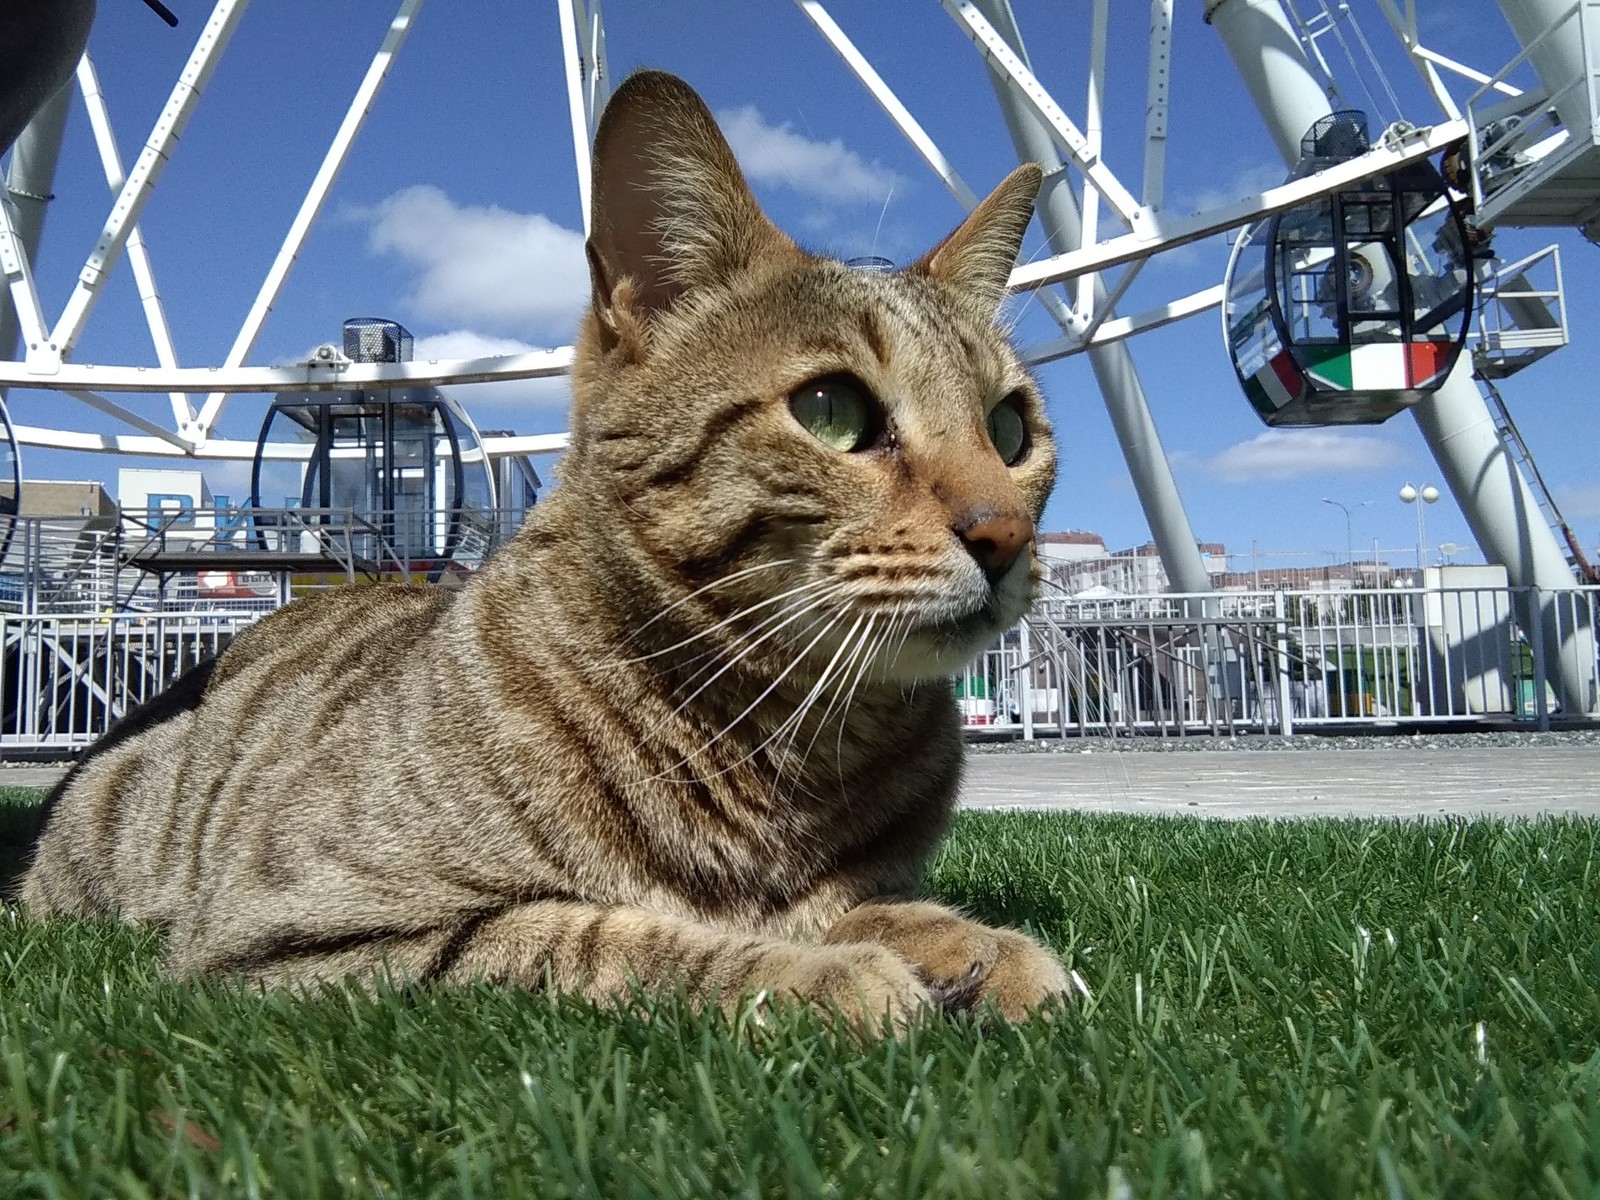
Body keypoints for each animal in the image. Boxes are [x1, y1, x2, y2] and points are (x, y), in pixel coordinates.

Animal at [21, 72, 1062, 1036]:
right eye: (832, 411)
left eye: (1012, 429)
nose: (1007, 533)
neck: (787, 744)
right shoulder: (302, 931)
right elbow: (603, 937)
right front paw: (818, 975)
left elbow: (876, 906)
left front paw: (968, 946)